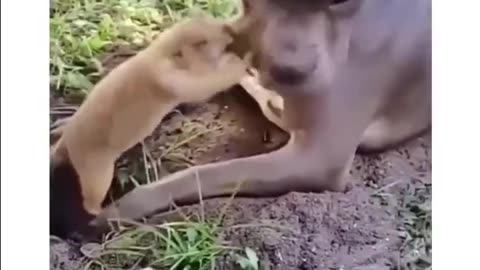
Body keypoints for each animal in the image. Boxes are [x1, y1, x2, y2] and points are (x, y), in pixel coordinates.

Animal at [50, 15, 249, 237]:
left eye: (207, 19)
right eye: (201, 42)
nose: (230, 30)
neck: (160, 52)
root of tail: (65, 150)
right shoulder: (172, 77)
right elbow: (204, 84)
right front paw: (241, 63)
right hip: (96, 176)